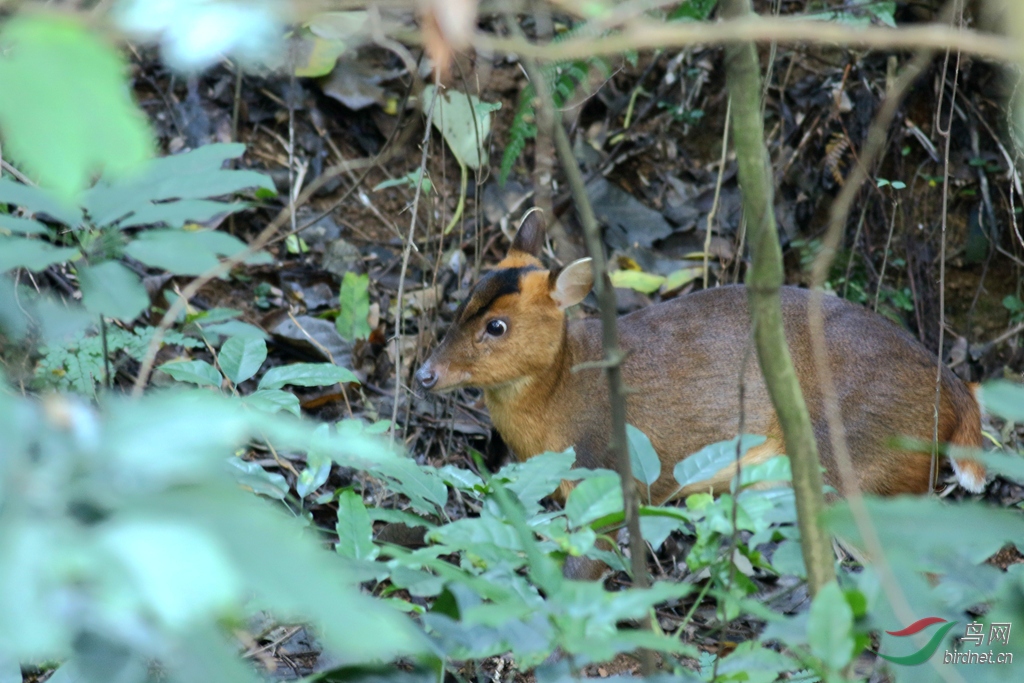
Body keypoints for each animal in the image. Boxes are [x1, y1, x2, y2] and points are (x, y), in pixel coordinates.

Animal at [413, 211, 983, 511]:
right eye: (464, 300)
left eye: (497, 326)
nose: (425, 374)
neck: (560, 395)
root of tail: (955, 391)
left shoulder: (607, 470)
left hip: (857, 458)